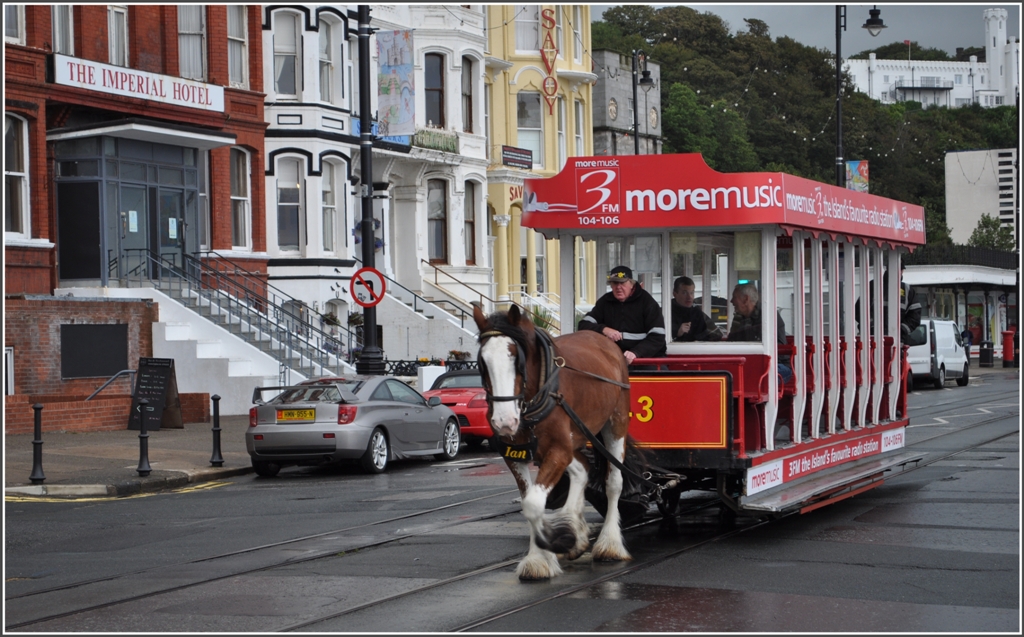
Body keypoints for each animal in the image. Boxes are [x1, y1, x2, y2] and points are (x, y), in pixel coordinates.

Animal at [471, 305, 630, 585]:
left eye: (516, 358)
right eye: (483, 362)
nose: (504, 421)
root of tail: (603, 339)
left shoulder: (558, 450)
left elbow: (534, 503)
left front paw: (554, 541)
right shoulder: (516, 456)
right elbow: (529, 501)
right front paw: (541, 556)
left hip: (615, 422)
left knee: (613, 483)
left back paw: (609, 544)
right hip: (573, 438)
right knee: (582, 470)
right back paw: (576, 530)